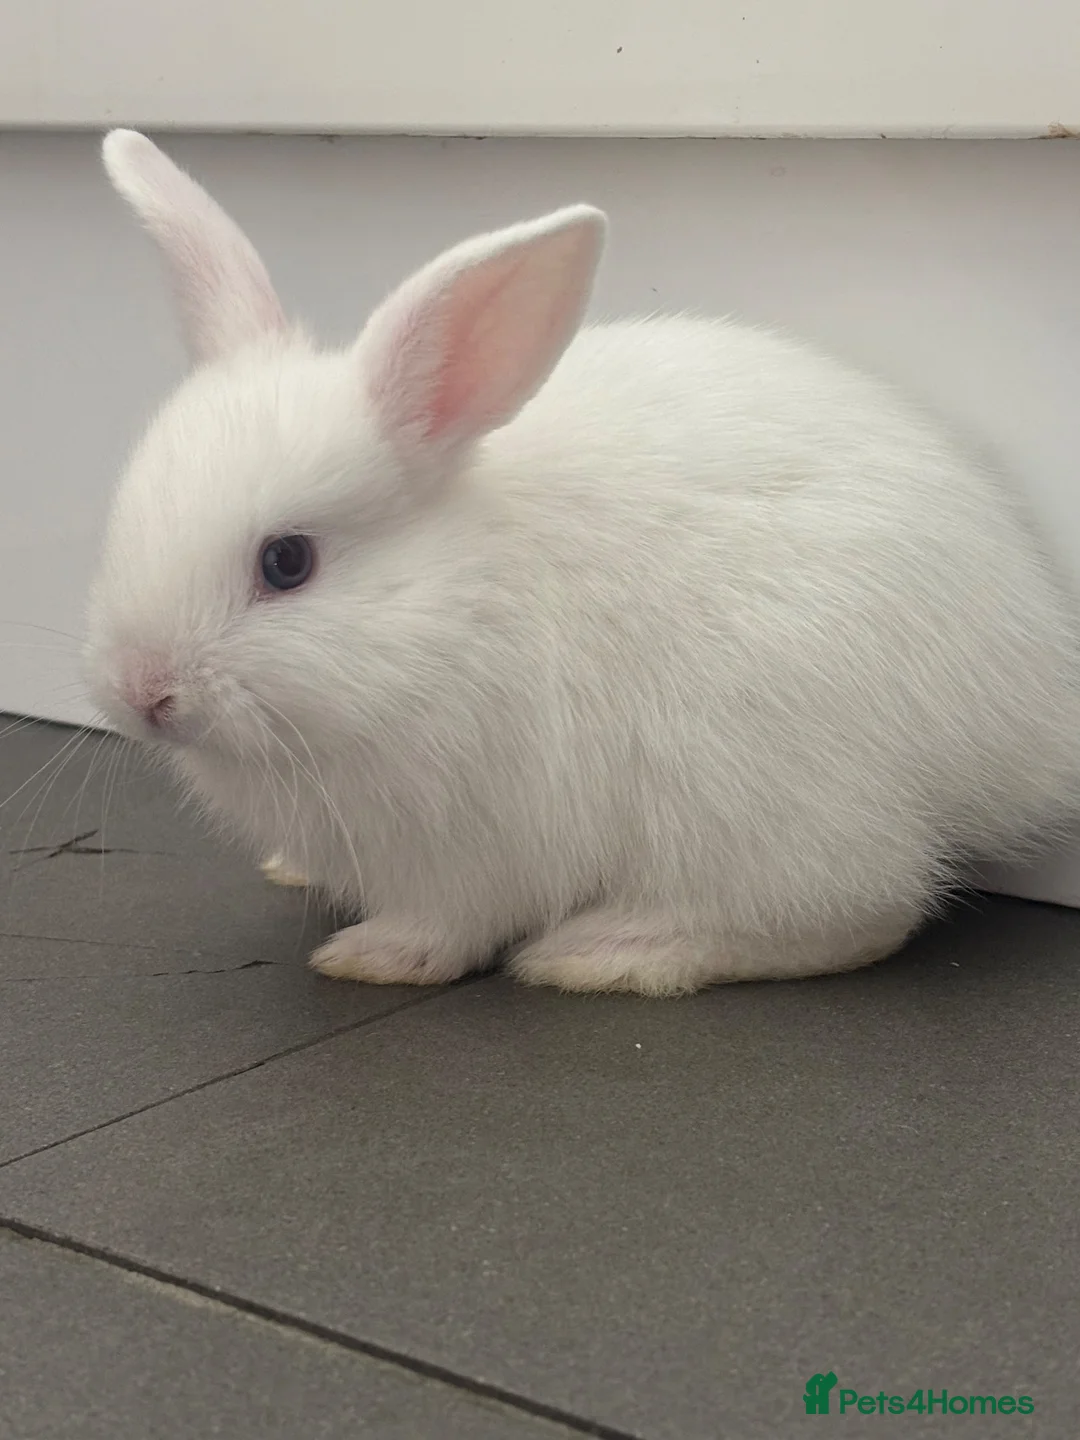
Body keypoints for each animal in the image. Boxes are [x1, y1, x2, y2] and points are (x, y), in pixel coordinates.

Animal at [84, 129, 1080, 997]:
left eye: (287, 562)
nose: (143, 694)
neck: (446, 608)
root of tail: (1035, 718)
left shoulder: (478, 842)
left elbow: (447, 925)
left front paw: (371, 956)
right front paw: (293, 870)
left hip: (750, 786)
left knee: (858, 911)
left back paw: (604, 952)